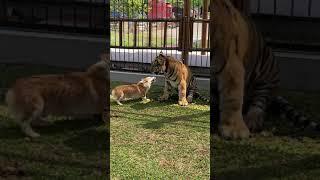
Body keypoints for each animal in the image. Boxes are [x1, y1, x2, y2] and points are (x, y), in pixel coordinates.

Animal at [211, 0, 318, 139]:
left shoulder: (229, 61)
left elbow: (232, 98)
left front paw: (235, 131)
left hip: (266, 72)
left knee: (260, 102)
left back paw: (252, 120)